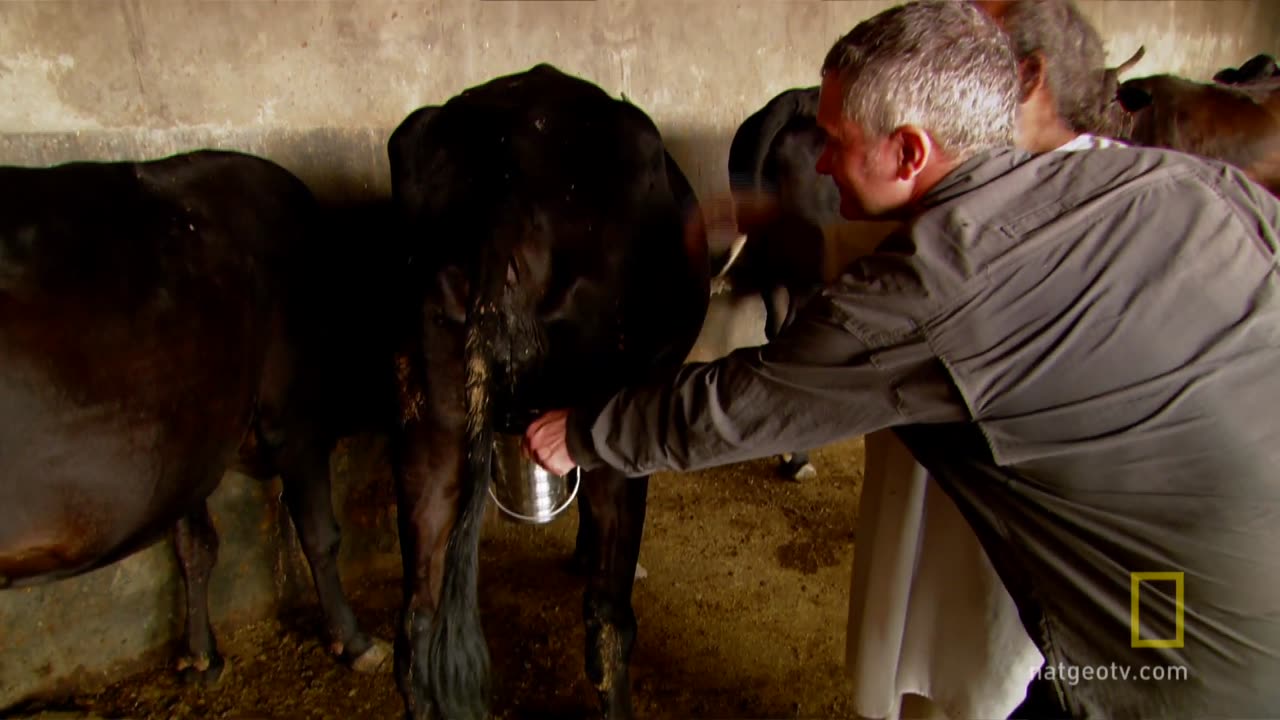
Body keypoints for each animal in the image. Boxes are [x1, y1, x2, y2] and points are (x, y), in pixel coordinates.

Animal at [0, 149, 389, 681]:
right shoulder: (294, 417)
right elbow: (319, 534)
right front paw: (354, 640)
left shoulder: (190, 443)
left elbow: (196, 546)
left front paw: (201, 654)